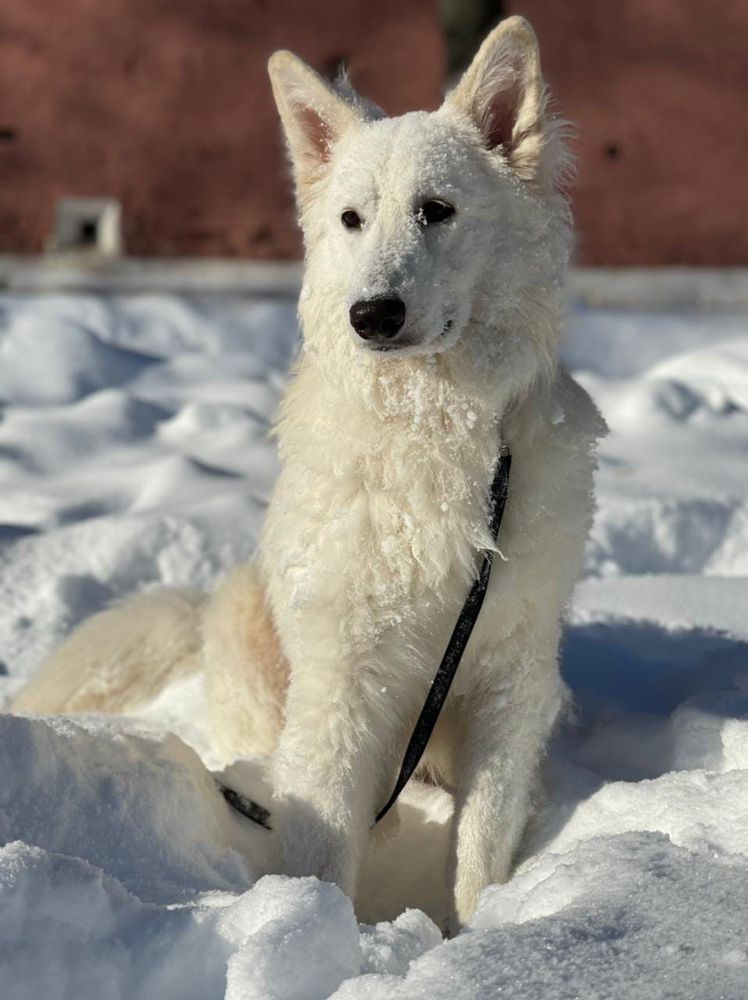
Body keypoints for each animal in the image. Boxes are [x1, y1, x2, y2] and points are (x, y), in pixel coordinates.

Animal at [11, 17, 604, 928]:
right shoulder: (341, 677)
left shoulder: (510, 676)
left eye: (437, 211)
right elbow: (323, 838)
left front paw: (480, 935)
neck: (434, 422)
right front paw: (316, 927)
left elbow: (480, 845)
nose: (372, 315)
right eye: (352, 219)